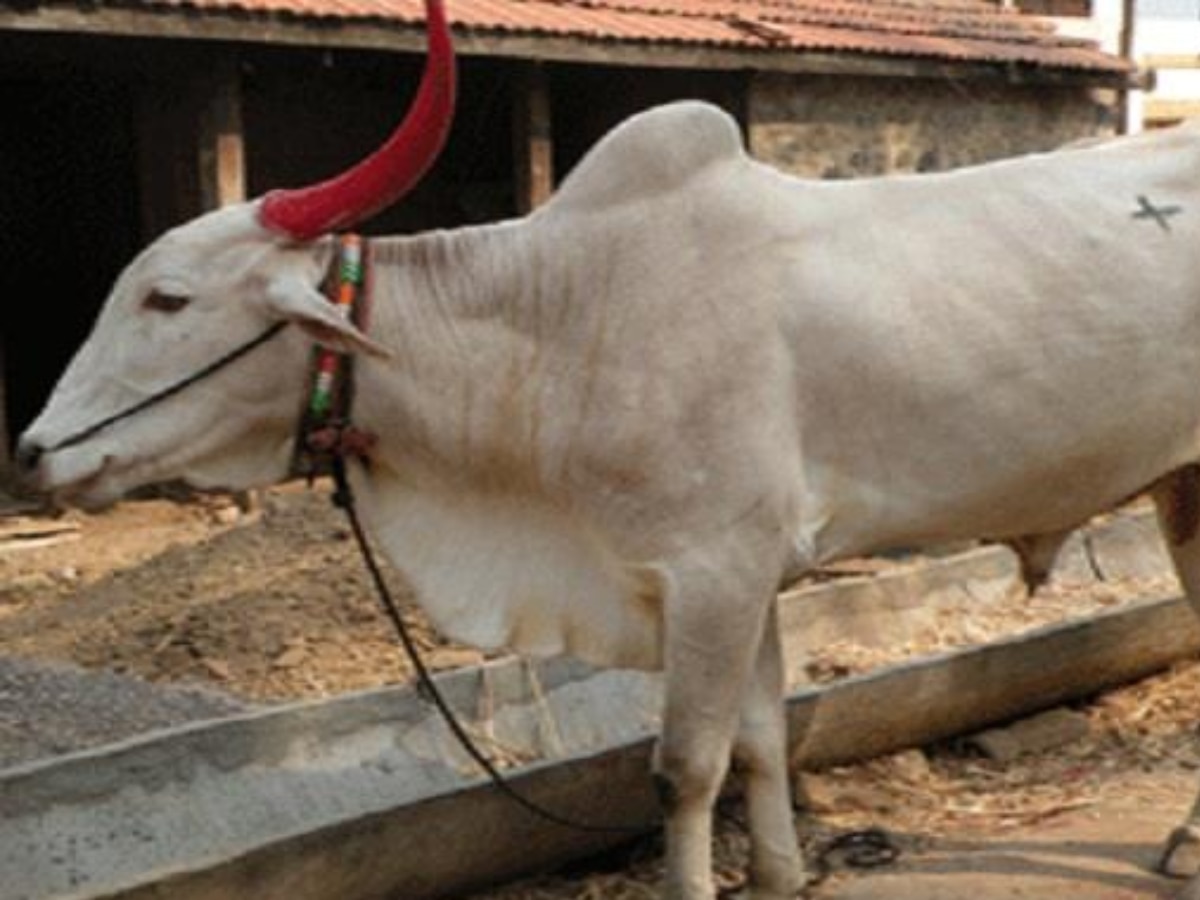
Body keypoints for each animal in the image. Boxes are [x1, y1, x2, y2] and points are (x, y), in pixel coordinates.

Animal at [14, 0, 1200, 895]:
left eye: (168, 297)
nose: (32, 452)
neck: (568, 313)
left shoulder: (714, 571)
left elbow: (684, 768)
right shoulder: (747, 582)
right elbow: (762, 740)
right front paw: (780, 874)